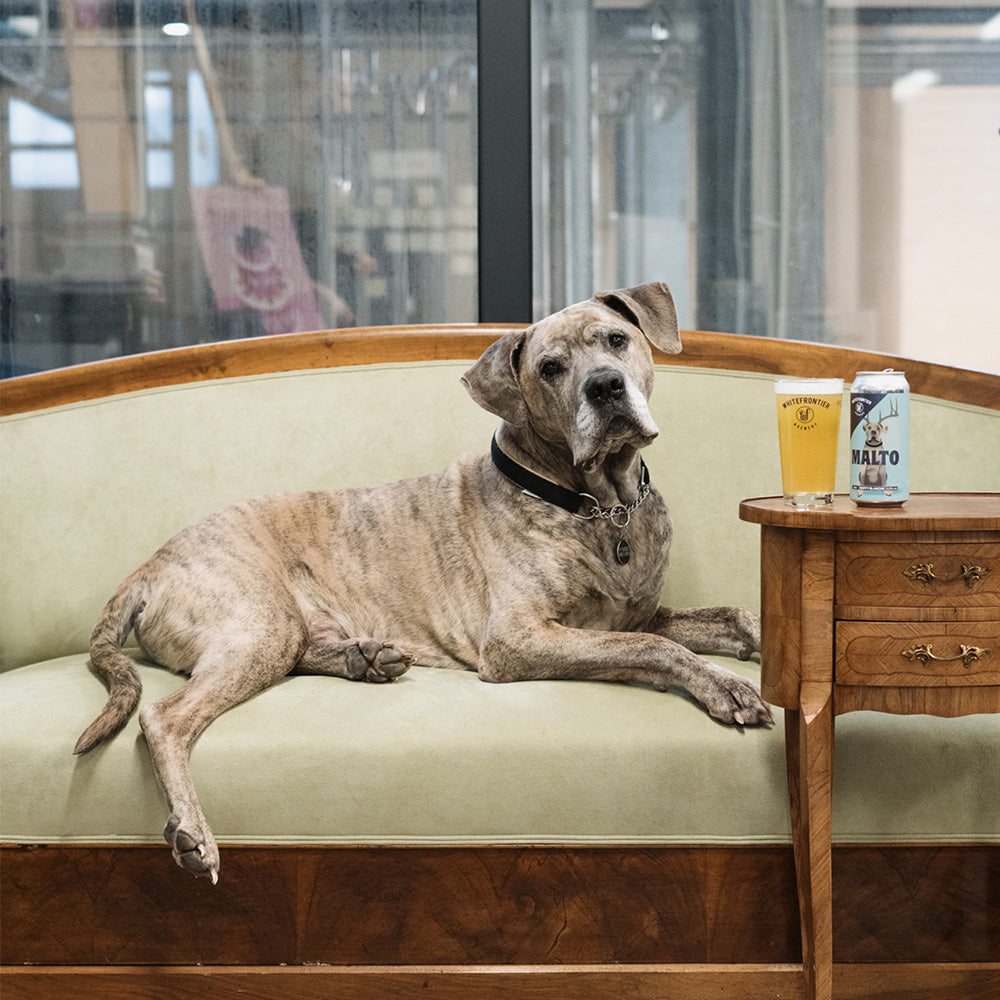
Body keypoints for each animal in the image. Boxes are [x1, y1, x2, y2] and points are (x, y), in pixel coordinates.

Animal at [78, 282, 772, 884]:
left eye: (617, 339)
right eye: (551, 368)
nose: (605, 385)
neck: (600, 505)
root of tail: (150, 566)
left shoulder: (640, 610)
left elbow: (727, 617)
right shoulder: (521, 639)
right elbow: (655, 649)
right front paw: (727, 687)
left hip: (283, 632)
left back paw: (367, 658)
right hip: (257, 626)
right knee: (165, 717)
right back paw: (193, 833)